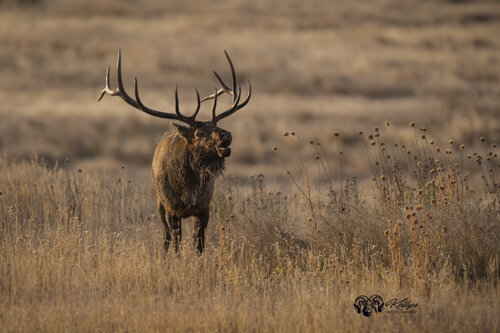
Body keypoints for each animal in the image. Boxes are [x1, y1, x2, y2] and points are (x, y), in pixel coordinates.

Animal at [97, 48, 250, 252]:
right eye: (199, 133)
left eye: (217, 126)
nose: (227, 135)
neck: (188, 190)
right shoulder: (171, 208)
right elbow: (176, 243)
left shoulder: (204, 207)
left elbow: (199, 244)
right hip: (160, 204)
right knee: (167, 237)